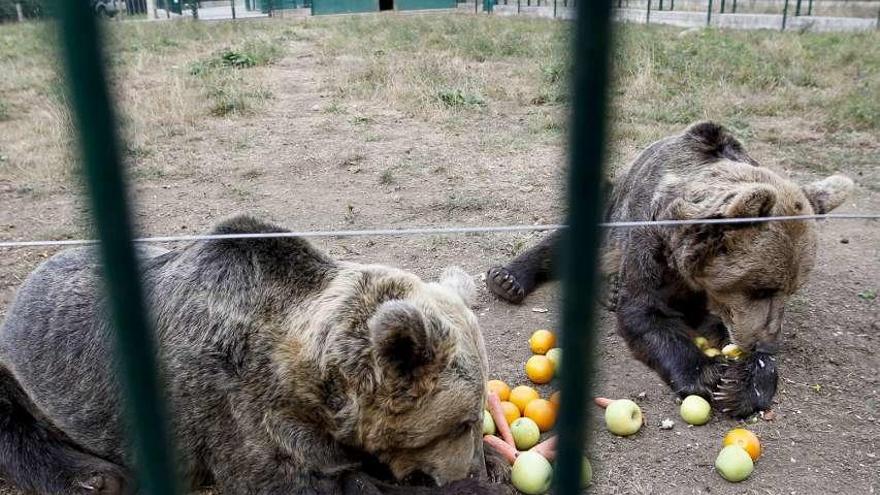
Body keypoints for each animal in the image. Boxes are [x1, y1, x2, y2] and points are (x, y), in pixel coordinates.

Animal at [0, 217, 508, 495]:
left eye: (473, 418)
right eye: (459, 423)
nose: (472, 467)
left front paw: (497, 460)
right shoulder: (231, 405)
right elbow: (308, 481)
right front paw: (473, 485)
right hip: (29, 376)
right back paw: (96, 480)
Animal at [488, 122, 852, 416]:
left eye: (791, 290)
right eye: (760, 288)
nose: (767, 343)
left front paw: (745, 384)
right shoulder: (650, 244)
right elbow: (647, 313)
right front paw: (708, 374)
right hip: (608, 218)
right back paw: (508, 279)